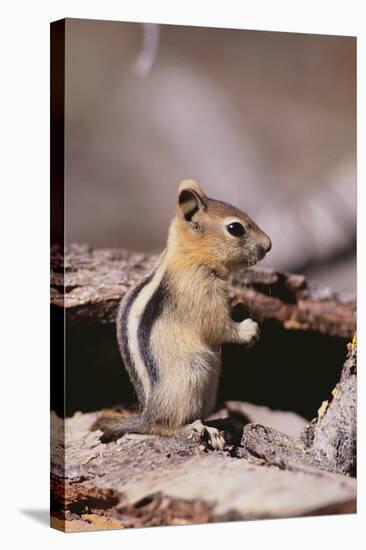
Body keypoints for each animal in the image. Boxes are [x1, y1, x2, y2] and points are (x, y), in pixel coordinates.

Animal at [94, 181, 272, 448]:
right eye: (235, 228)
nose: (269, 245)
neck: (190, 258)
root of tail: (147, 415)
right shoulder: (200, 298)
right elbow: (218, 327)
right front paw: (248, 329)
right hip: (192, 375)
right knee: (164, 427)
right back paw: (199, 428)